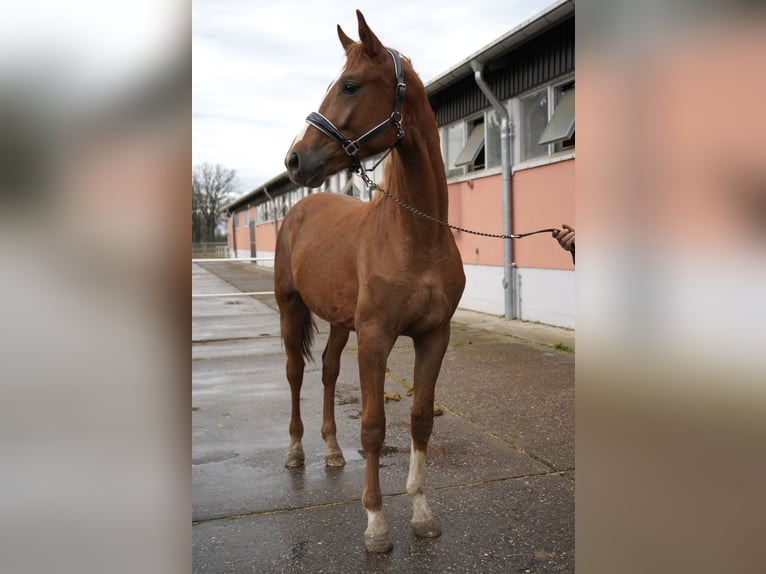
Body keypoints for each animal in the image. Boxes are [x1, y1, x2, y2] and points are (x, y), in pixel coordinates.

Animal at [278, 12, 464, 552]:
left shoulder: (433, 336)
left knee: (326, 372)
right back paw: (296, 452)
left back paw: (332, 451)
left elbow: (420, 419)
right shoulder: (377, 338)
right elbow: (374, 427)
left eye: (350, 85)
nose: (294, 161)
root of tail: (301, 208)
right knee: (294, 373)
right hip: (290, 306)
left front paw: (422, 513)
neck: (415, 236)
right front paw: (377, 524)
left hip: (342, 324)